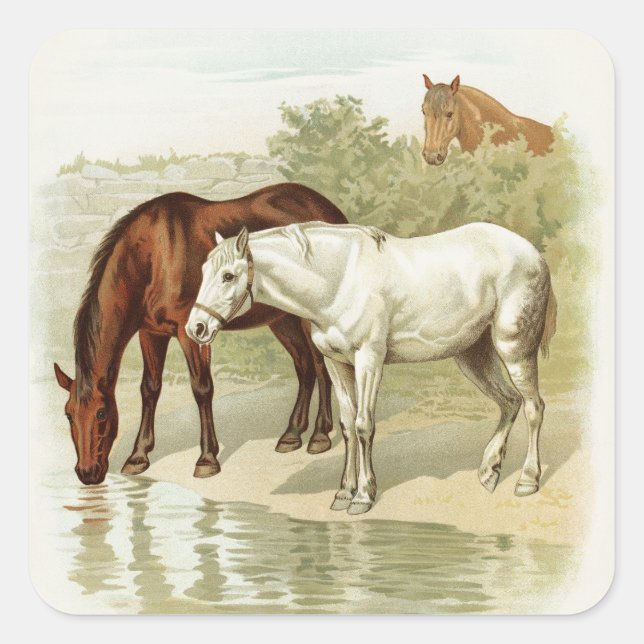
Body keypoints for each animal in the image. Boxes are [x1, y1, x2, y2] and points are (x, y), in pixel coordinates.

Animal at [53, 184, 348, 486]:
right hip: (282, 320)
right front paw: (138, 455)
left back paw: (320, 435)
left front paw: (207, 458)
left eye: (101, 413)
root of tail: (330, 209)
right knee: (304, 367)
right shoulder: (151, 333)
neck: (154, 254)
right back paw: (292, 434)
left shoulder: (192, 333)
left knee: (320, 368)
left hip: (308, 319)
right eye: (68, 414)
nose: (87, 472)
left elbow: (202, 388)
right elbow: (150, 389)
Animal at [186, 221, 557, 515]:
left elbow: (364, 426)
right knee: (508, 401)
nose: (196, 328)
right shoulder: (337, 364)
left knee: (533, 407)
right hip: (473, 356)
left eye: (228, 275)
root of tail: (533, 254)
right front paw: (342, 492)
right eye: (202, 273)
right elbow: (348, 426)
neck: (339, 281)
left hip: (515, 349)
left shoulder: (369, 359)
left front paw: (363, 496)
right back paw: (489, 471)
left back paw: (527, 480)